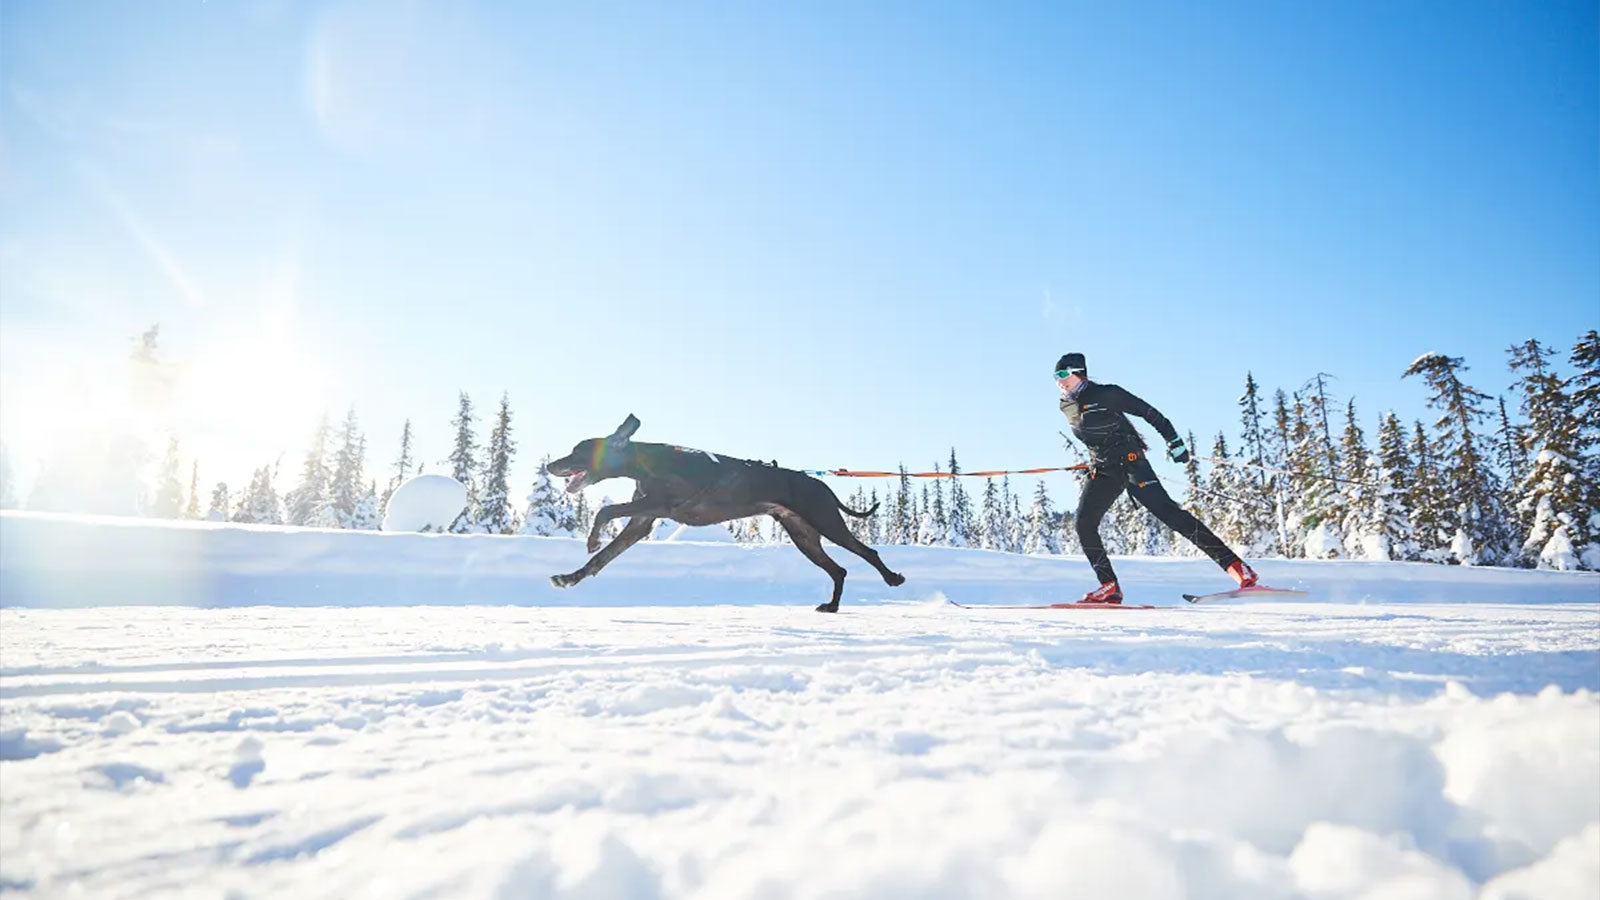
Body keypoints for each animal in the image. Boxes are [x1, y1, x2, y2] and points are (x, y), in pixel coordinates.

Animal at [547, 413, 902, 608]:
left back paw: (892, 577)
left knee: (867, 552)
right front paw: (570, 577)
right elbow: (601, 560)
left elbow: (604, 513)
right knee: (838, 570)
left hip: (827, 522)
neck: (647, 463)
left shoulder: (657, 504)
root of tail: (820, 483)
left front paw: (592, 539)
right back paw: (831, 606)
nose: (550, 464)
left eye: (577, 451)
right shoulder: (641, 521)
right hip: (804, 537)